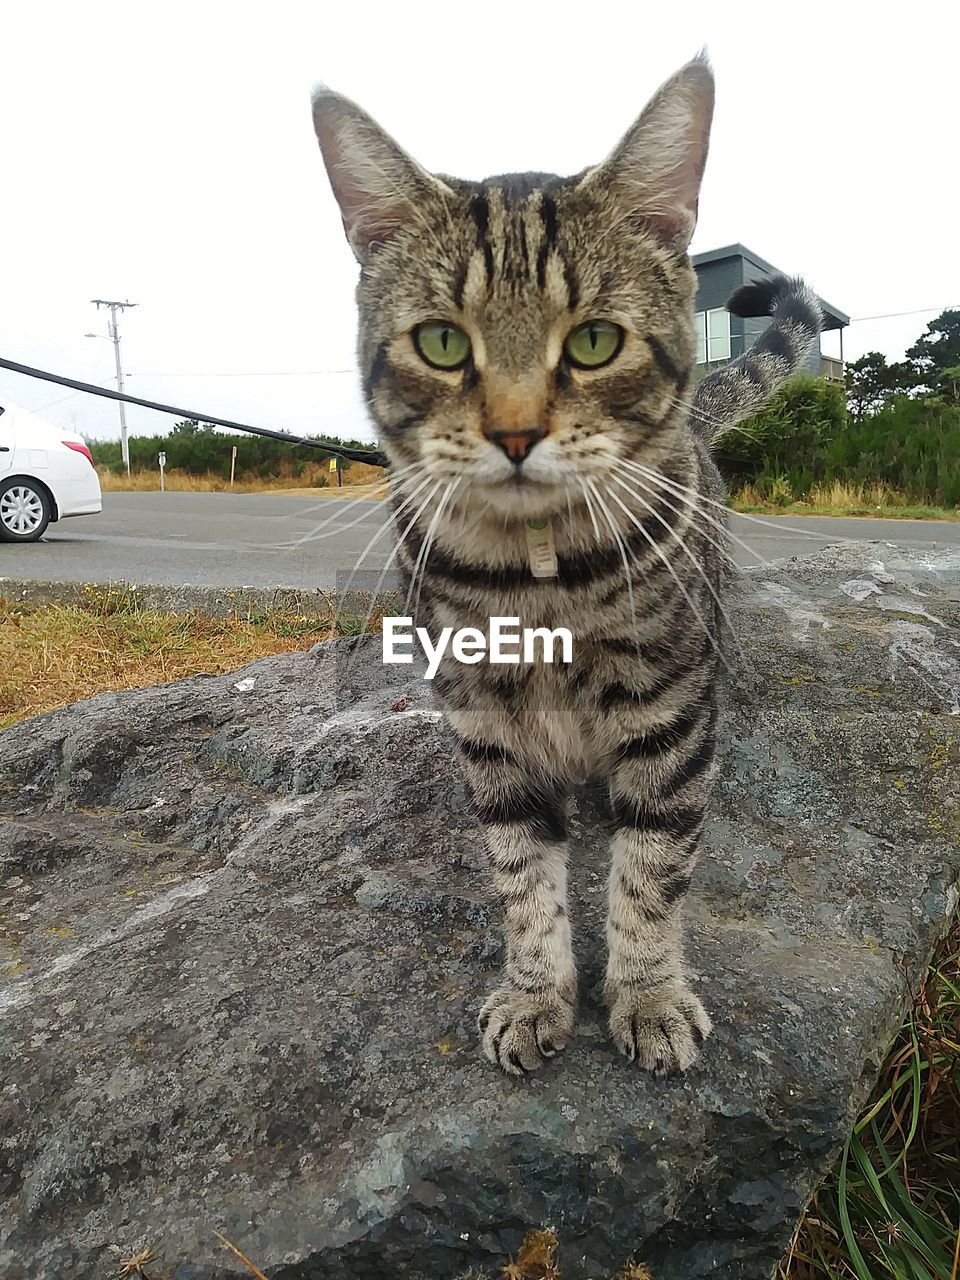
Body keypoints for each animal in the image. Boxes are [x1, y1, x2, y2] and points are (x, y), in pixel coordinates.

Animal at [312, 62, 824, 1080]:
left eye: (594, 342)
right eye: (441, 342)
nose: (515, 434)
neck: (537, 569)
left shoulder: (669, 708)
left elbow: (653, 870)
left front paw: (649, 996)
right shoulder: (482, 721)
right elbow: (522, 874)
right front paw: (536, 993)